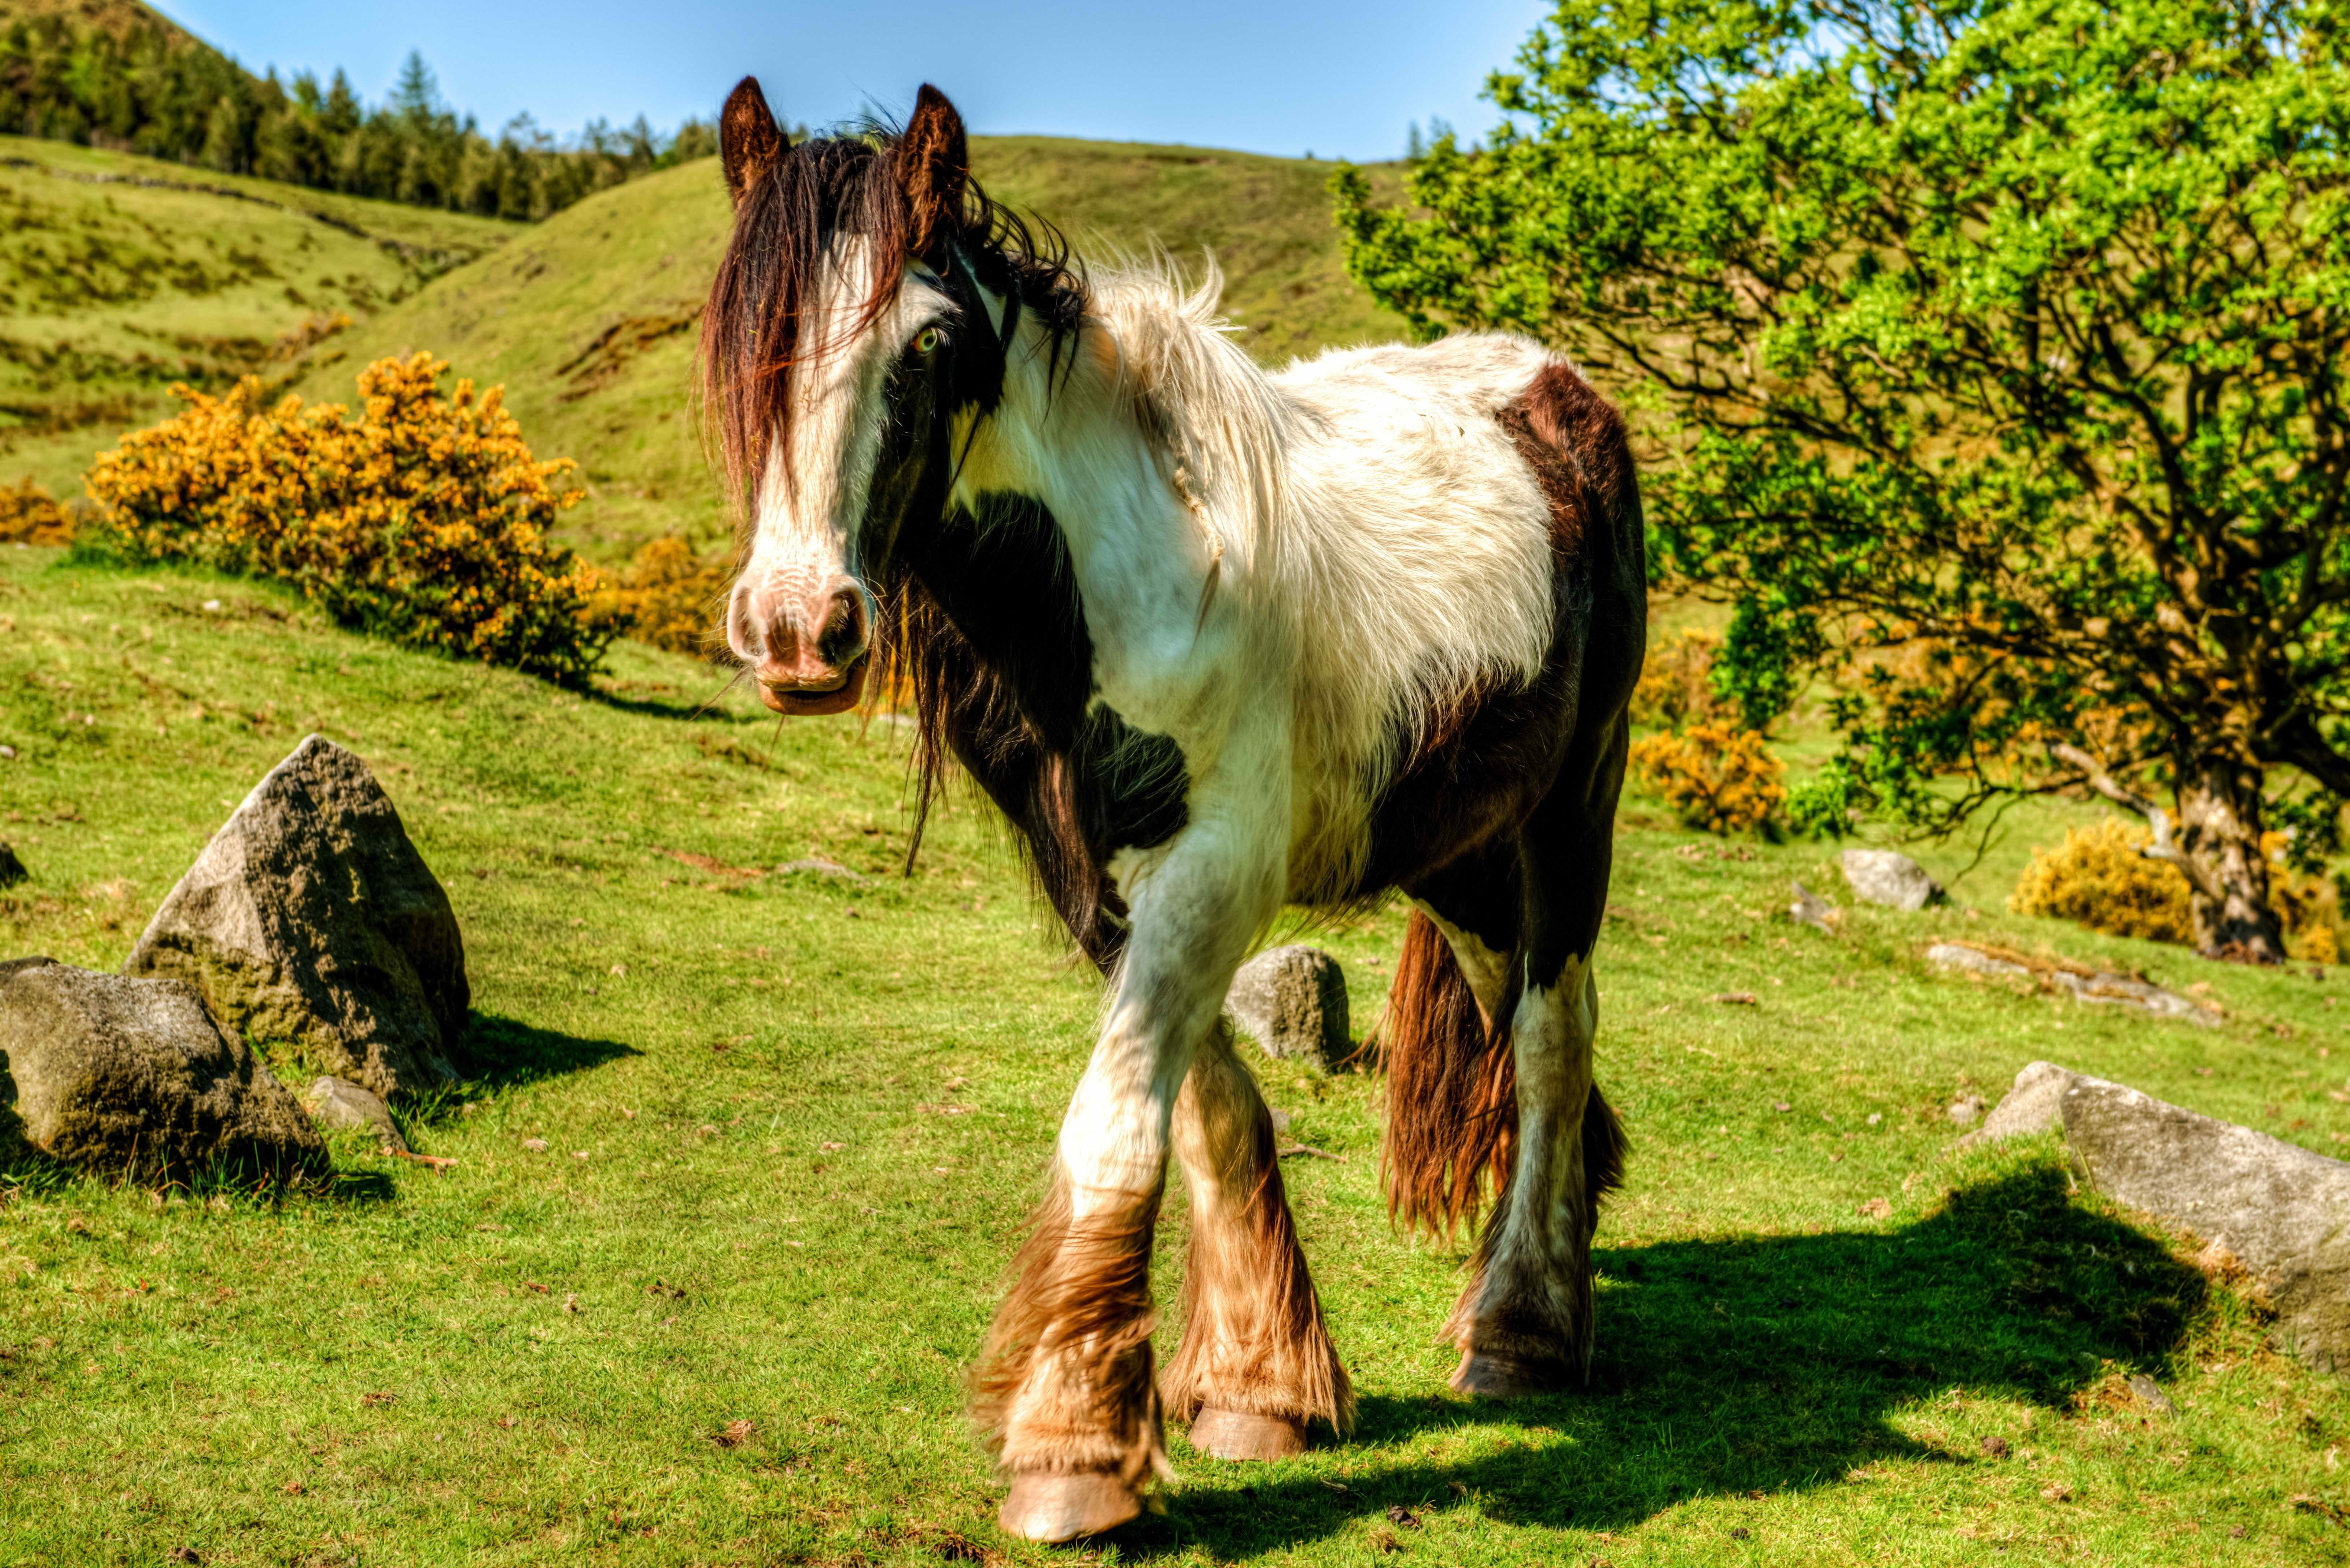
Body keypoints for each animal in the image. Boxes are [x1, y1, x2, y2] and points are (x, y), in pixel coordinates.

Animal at [705, 80, 1645, 1542]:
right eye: (753, 332)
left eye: (927, 342)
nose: (800, 630)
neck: (1122, 575)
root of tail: (1556, 389)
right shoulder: (1103, 885)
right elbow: (1207, 1110)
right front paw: (1260, 1387)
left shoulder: (1212, 873)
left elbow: (1115, 1122)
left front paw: (1072, 1453)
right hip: (1459, 850)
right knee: (1521, 1028)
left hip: (1567, 815)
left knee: (1550, 1039)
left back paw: (1519, 1331)